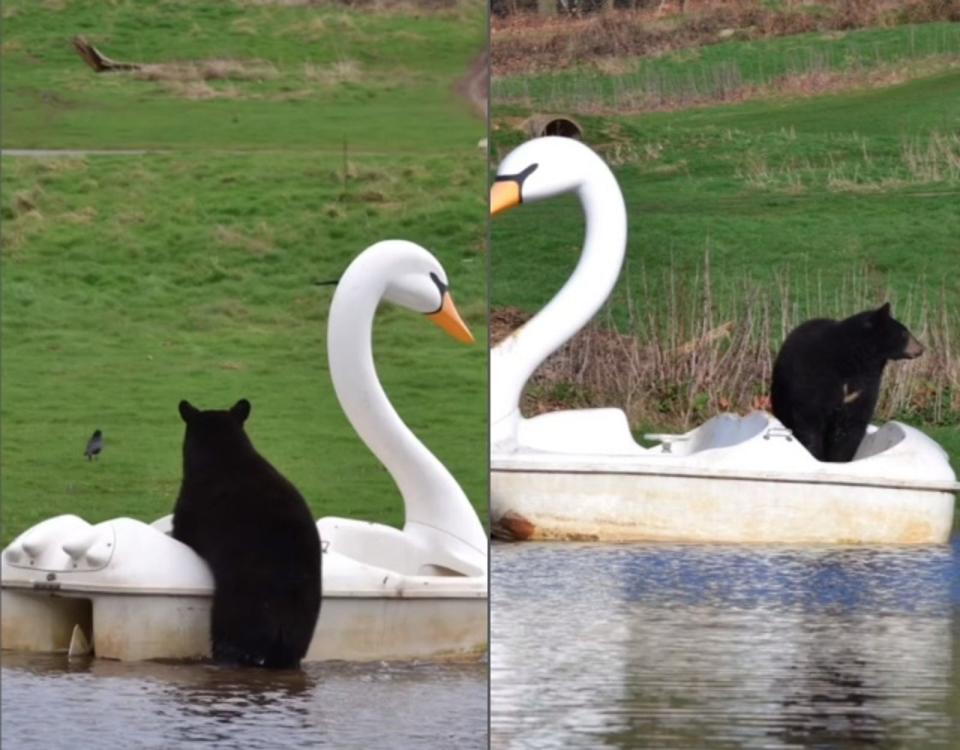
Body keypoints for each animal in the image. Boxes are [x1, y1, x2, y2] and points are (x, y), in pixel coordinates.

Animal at [172, 400, 322, 668]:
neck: (223, 454)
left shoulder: (191, 509)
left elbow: (181, 533)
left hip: (241, 611)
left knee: (230, 641)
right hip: (304, 622)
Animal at [772, 306, 924, 464]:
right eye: (904, 332)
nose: (921, 348)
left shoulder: (863, 388)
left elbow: (851, 427)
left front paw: (839, 460)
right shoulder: (813, 379)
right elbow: (809, 421)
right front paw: (816, 456)